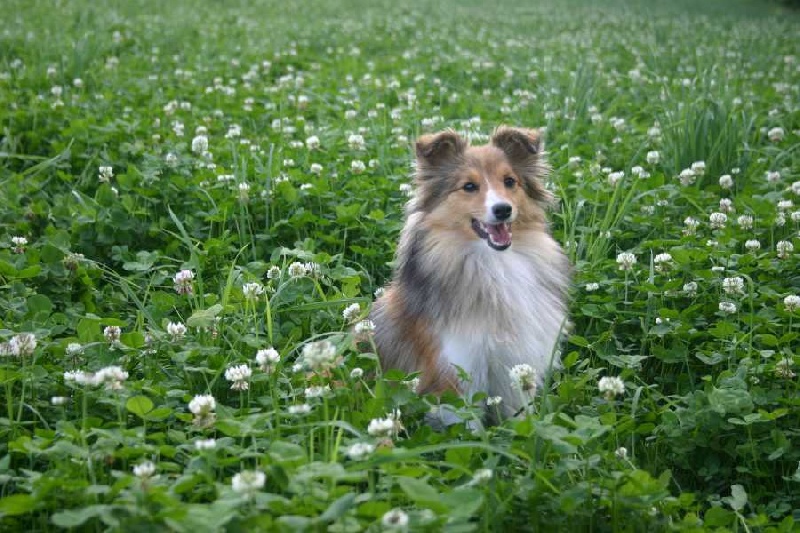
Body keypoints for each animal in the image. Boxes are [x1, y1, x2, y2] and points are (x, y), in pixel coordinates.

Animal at [368, 127, 568, 422]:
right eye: (469, 186)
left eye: (510, 181)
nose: (503, 209)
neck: (495, 265)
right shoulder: (455, 374)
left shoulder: (517, 368)